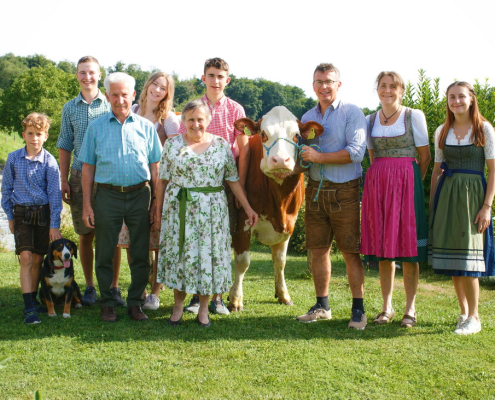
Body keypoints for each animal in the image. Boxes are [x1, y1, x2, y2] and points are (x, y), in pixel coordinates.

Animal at [230, 107, 324, 312]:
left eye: (296, 135)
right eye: (263, 134)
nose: (280, 160)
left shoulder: (289, 224)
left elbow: (280, 262)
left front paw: (283, 294)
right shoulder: (242, 221)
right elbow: (242, 262)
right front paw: (235, 300)